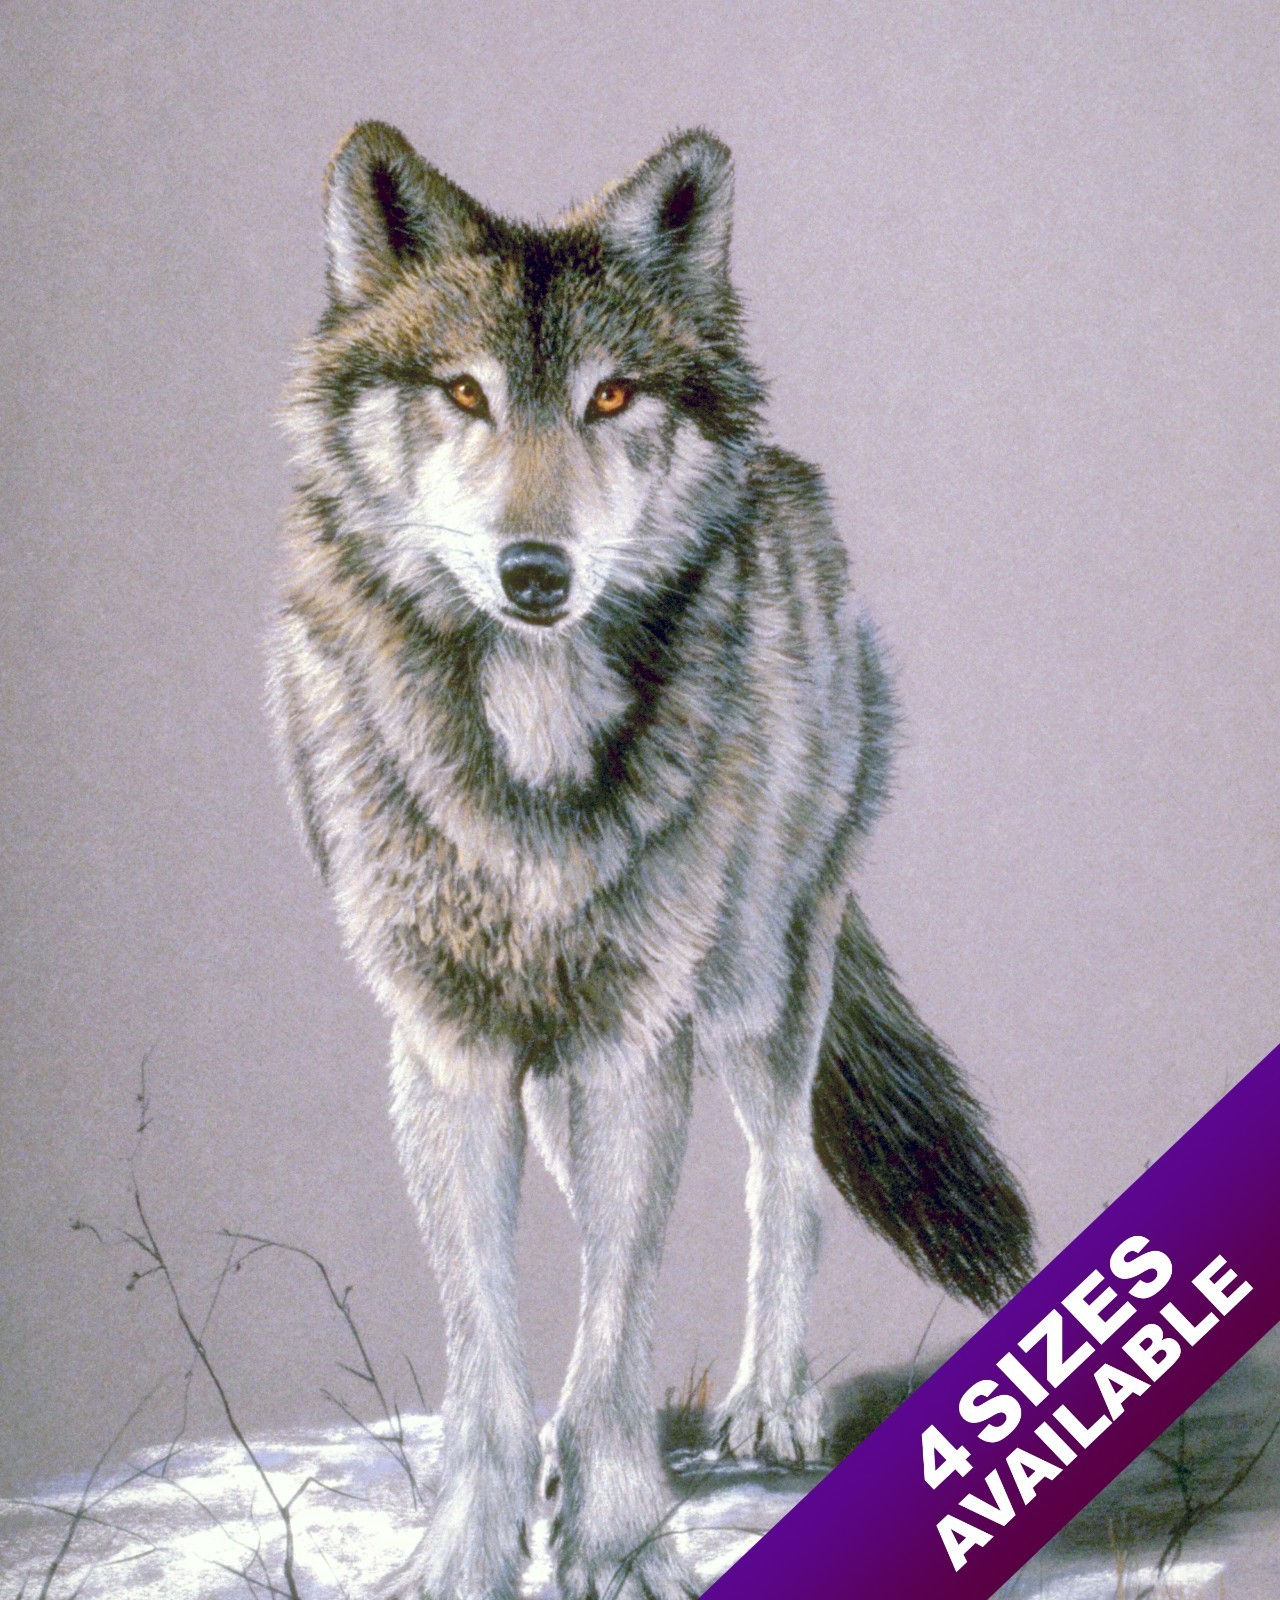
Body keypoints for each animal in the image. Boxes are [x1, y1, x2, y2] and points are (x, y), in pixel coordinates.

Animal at [267, 122, 1033, 1600]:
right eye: (463, 392)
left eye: (611, 397)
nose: (536, 574)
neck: (527, 753)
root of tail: (791, 483)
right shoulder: (450, 1051)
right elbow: (493, 1350)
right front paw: (469, 1548)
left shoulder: (634, 1037)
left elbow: (618, 1329)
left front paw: (618, 1544)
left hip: (752, 986)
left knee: (784, 1184)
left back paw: (770, 1404)